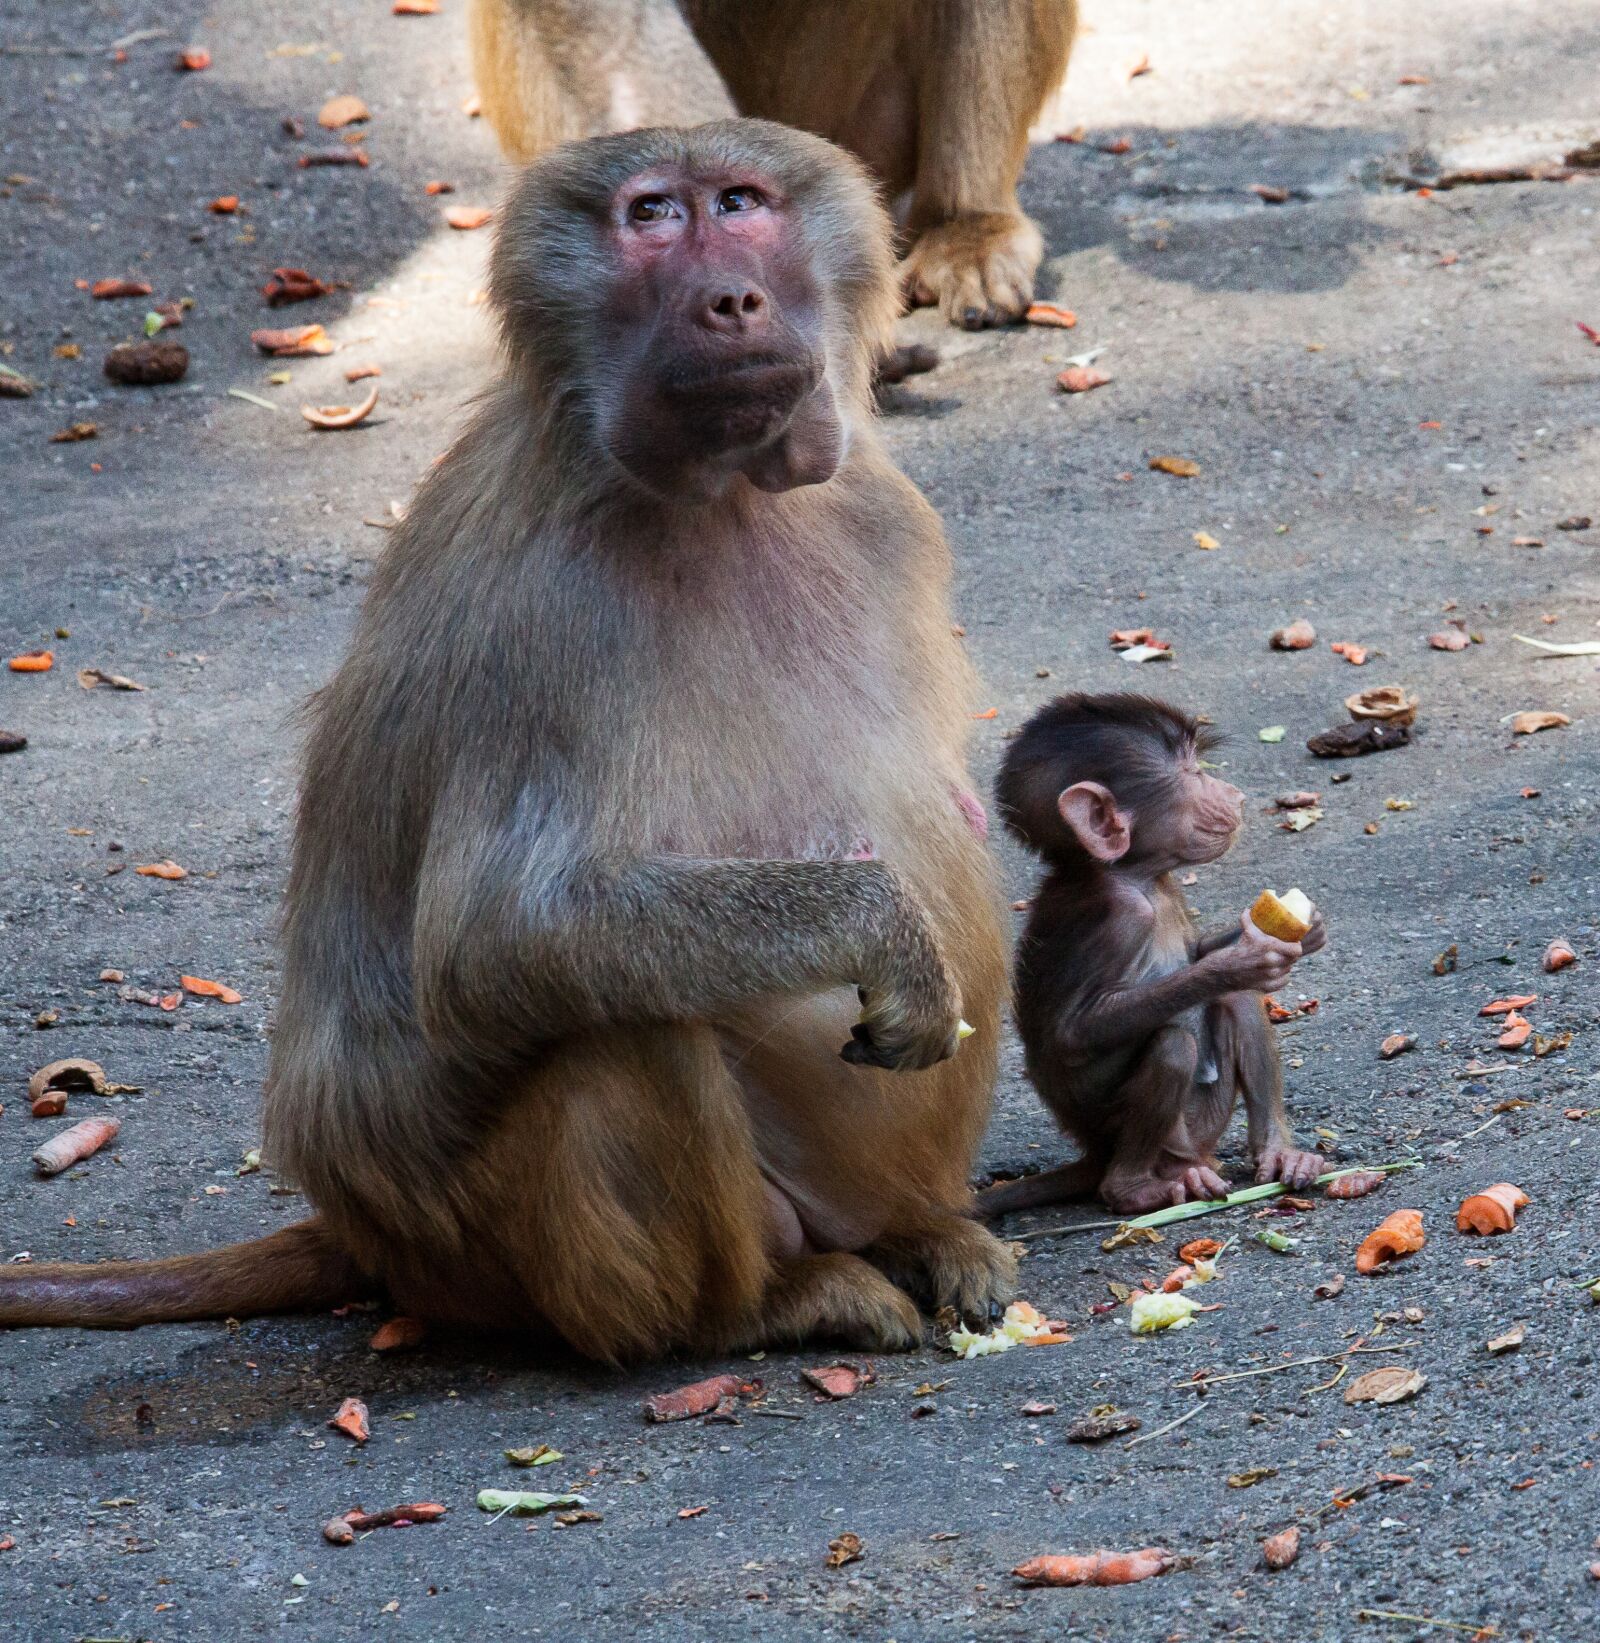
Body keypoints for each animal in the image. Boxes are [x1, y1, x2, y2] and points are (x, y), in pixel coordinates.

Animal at [0, 120, 1016, 1361]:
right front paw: (886, 934)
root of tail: (375, 1243)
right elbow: (497, 937)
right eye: (651, 217)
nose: (730, 300)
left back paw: (918, 1235)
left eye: (739, 202)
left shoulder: (880, 508)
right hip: (505, 1252)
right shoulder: (548, 613)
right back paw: (762, 1306)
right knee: (628, 1031)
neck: (720, 497)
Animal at [977, 694, 1328, 1220]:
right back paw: (1134, 1189)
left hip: (1203, 1128)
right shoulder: (1118, 918)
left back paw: (1280, 1153)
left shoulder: (1168, 890)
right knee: (1173, 1047)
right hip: (1163, 1140)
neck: (1132, 874)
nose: (1236, 795)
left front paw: (1304, 932)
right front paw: (1237, 963)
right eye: (1192, 773)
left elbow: (1199, 953)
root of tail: (1095, 1153)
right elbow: (1073, 1032)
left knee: (1238, 1002)